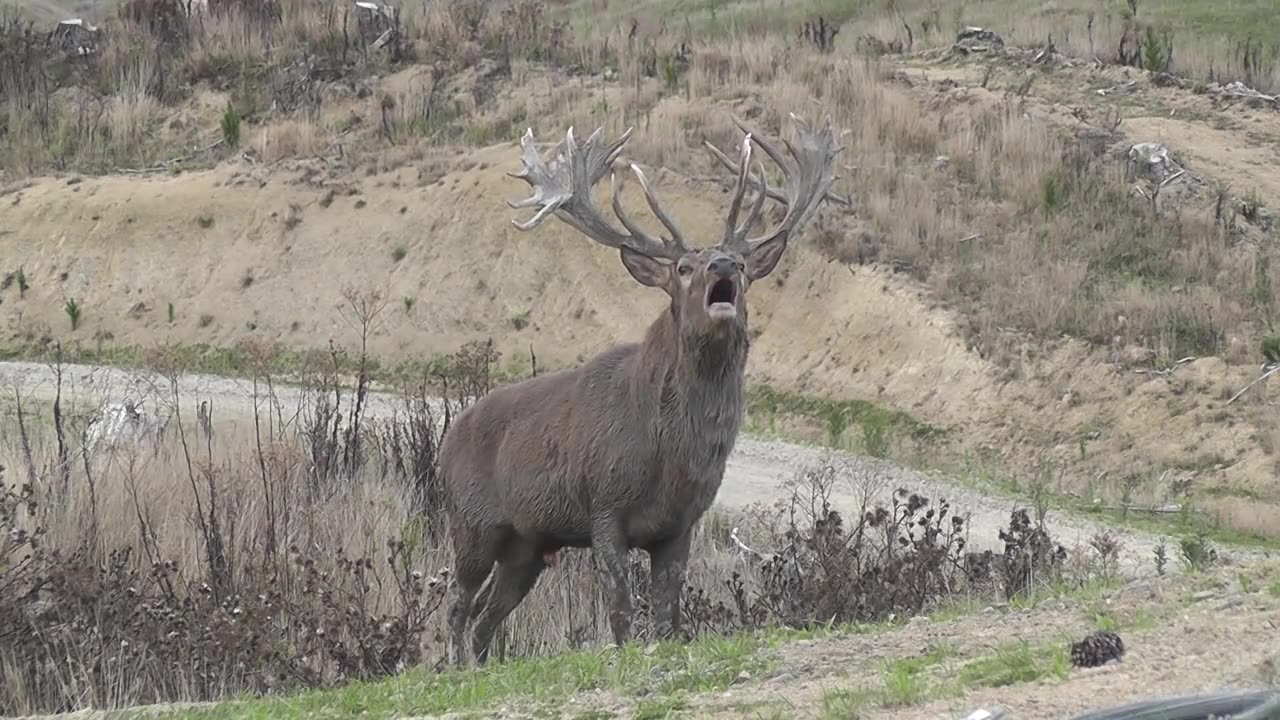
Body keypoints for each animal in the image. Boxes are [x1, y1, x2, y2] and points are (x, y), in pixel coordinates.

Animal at [435, 109, 844, 666]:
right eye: (683, 267)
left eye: (740, 262)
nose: (723, 265)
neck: (669, 455)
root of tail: (446, 442)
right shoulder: (604, 508)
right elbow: (620, 611)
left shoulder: (681, 524)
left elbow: (669, 615)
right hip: (472, 522)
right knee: (457, 607)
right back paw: (454, 669)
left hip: (527, 547)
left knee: (485, 618)